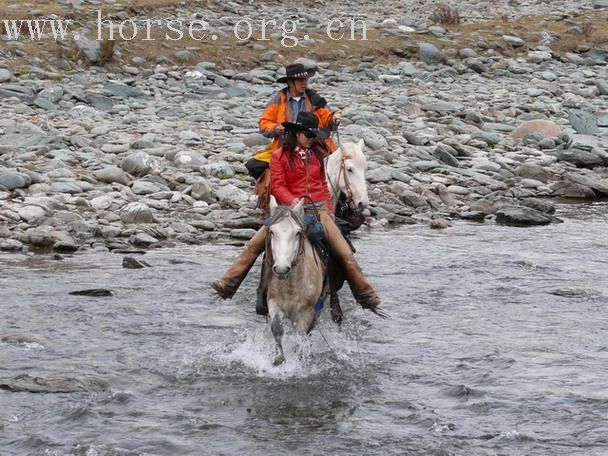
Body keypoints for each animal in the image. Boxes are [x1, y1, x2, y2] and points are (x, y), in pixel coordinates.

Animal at [264, 198, 326, 366]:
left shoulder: (307, 312)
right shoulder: (273, 303)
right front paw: (279, 358)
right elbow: (277, 327)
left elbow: (300, 336)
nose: (281, 269)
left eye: (297, 233)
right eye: (272, 231)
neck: (291, 285)